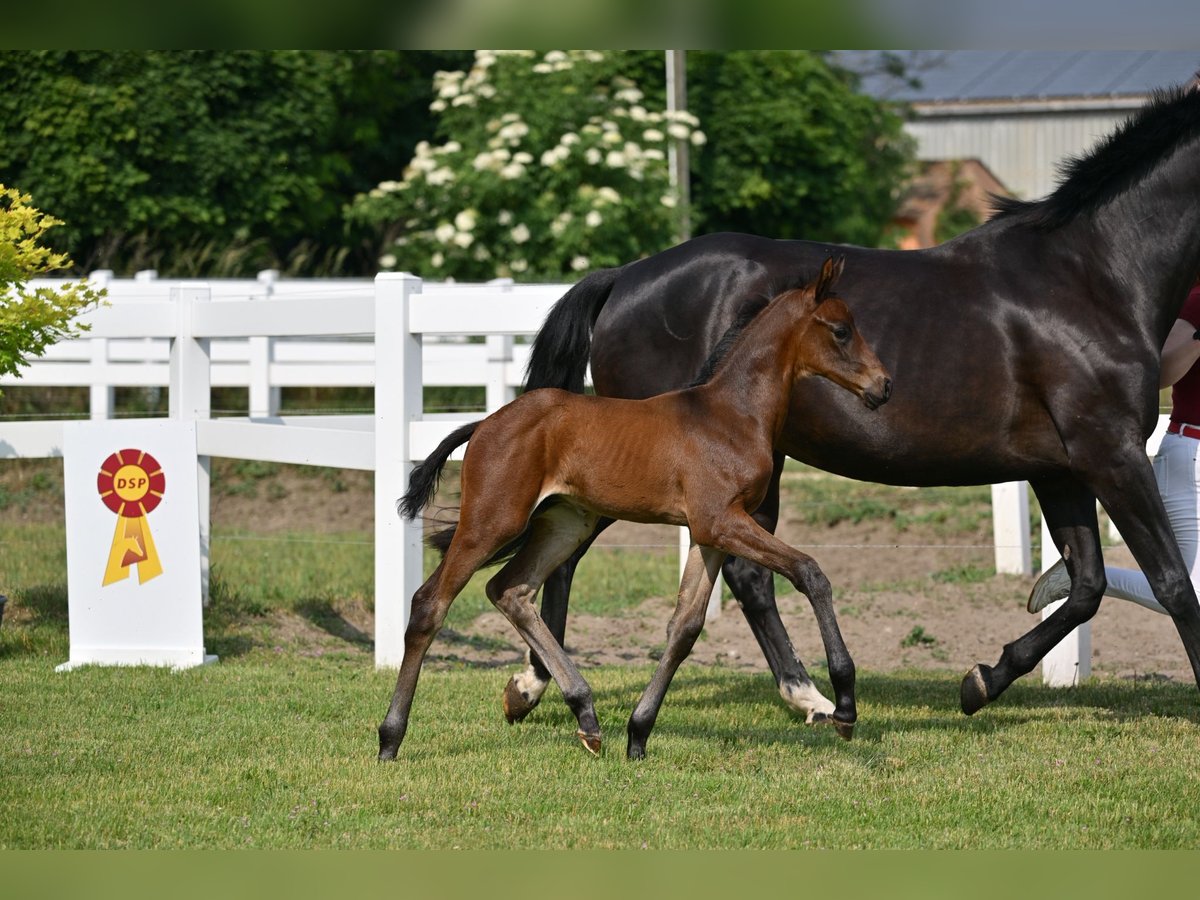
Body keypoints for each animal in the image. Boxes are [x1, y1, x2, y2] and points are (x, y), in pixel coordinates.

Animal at [378, 256, 892, 760]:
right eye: (841, 330)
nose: (883, 386)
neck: (731, 415)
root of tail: (484, 423)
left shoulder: (710, 533)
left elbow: (685, 627)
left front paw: (638, 733)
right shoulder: (722, 522)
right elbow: (810, 572)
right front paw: (844, 707)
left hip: (566, 523)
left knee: (511, 590)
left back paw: (586, 716)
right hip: (492, 520)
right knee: (430, 603)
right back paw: (390, 738)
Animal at [499, 83, 1200, 727]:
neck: (1090, 279)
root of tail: (625, 277)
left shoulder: (1061, 468)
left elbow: (1086, 586)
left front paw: (980, 682)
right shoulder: (1111, 455)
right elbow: (1172, 584)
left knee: (735, 577)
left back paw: (800, 695)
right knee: (575, 560)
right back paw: (541, 686)